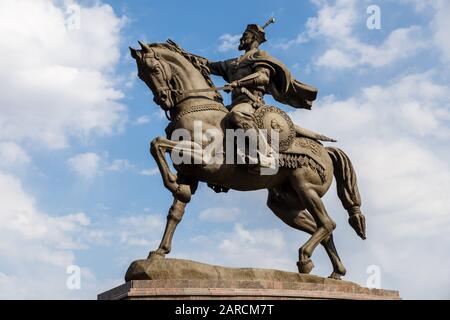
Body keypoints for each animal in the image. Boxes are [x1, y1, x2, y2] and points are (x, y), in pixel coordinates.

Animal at [127, 40, 366, 280]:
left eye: (154, 69)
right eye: (140, 75)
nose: (162, 99)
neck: (197, 110)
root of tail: (327, 151)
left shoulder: (205, 160)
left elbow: (157, 143)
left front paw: (172, 184)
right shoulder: (189, 174)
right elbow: (175, 212)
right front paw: (159, 251)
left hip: (306, 188)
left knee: (327, 223)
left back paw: (305, 256)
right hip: (286, 203)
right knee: (322, 229)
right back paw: (333, 272)